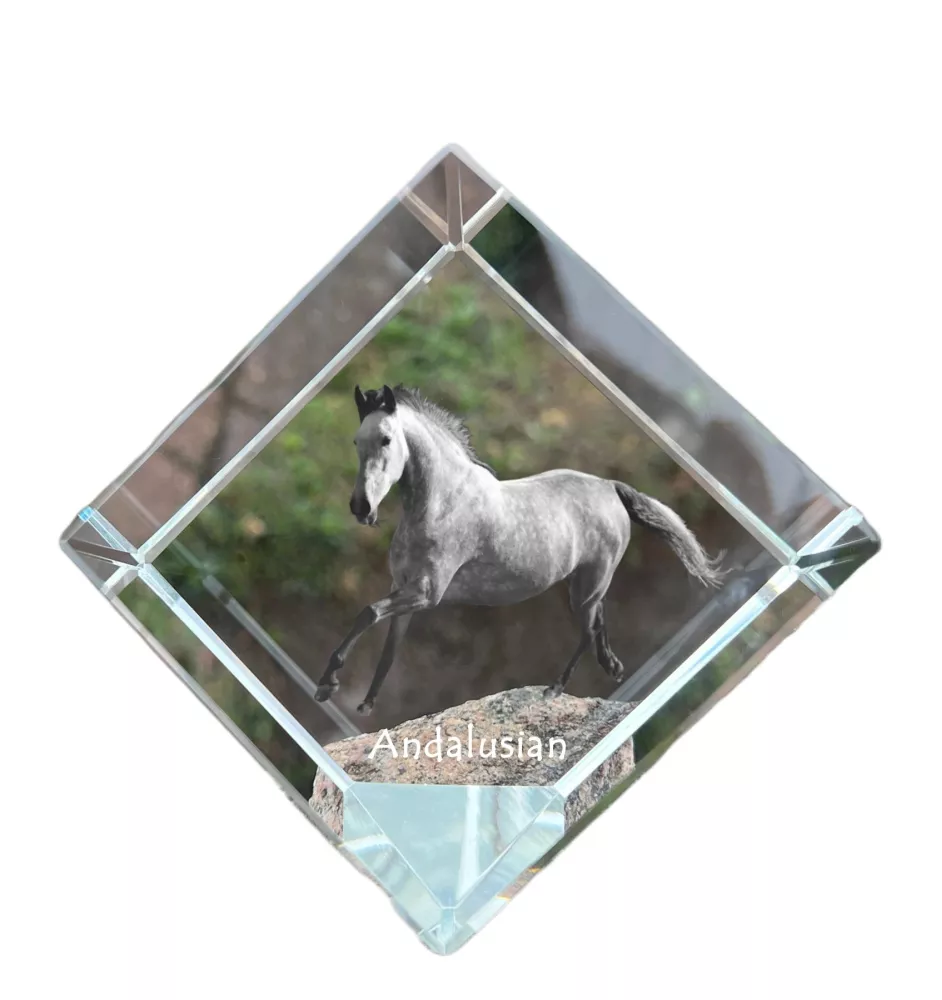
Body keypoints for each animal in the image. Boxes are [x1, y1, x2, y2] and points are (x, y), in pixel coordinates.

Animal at [314, 383, 724, 714]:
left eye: (385, 439)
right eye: (356, 441)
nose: (361, 507)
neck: (441, 503)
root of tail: (611, 487)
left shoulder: (424, 594)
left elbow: (367, 613)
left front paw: (327, 685)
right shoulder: (403, 590)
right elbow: (388, 649)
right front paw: (365, 705)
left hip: (586, 586)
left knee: (588, 630)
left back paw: (554, 689)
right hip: (585, 583)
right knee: (599, 620)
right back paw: (612, 667)